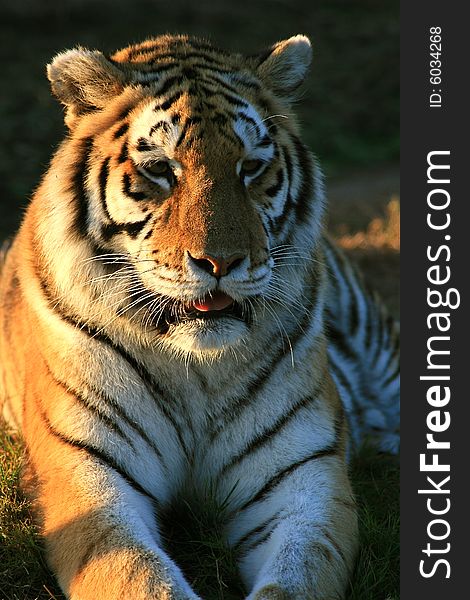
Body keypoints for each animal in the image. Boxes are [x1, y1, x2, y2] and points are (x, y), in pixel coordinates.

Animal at [0, 34, 400, 600]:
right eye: (160, 169)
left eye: (251, 168)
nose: (220, 263)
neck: (195, 368)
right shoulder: (86, 473)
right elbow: (136, 575)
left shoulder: (303, 480)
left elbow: (295, 578)